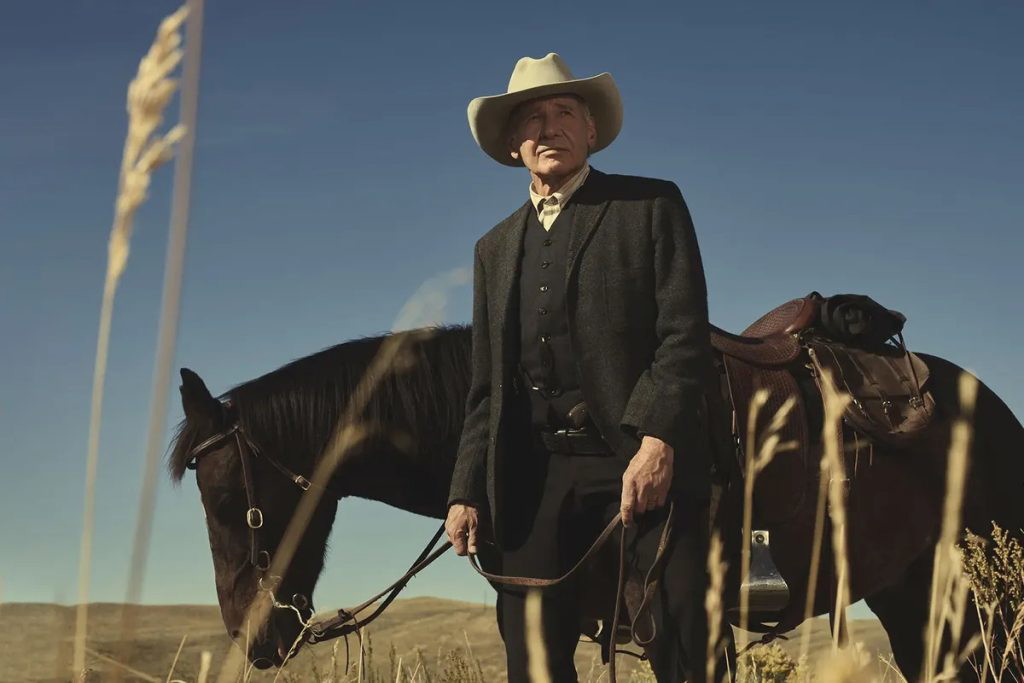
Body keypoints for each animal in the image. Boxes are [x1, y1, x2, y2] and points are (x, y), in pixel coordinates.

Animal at [169, 323, 1024, 675]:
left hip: (987, 599)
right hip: (918, 599)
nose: (252, 638)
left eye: (228, 501)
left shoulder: (686, 627)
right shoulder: (540, 621)